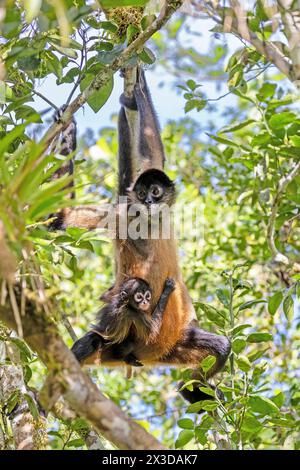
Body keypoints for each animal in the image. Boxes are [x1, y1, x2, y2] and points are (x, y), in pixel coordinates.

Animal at [68, 67, 231, 404]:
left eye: (155, 192)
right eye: (143, 194)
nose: (148, 202)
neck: (151, 223)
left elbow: (151, 151)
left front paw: (135, 89)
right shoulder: (124, 213)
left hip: (178, 344)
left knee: (221, 348)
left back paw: (192, 390)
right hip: (118, 342)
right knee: (90, 343)